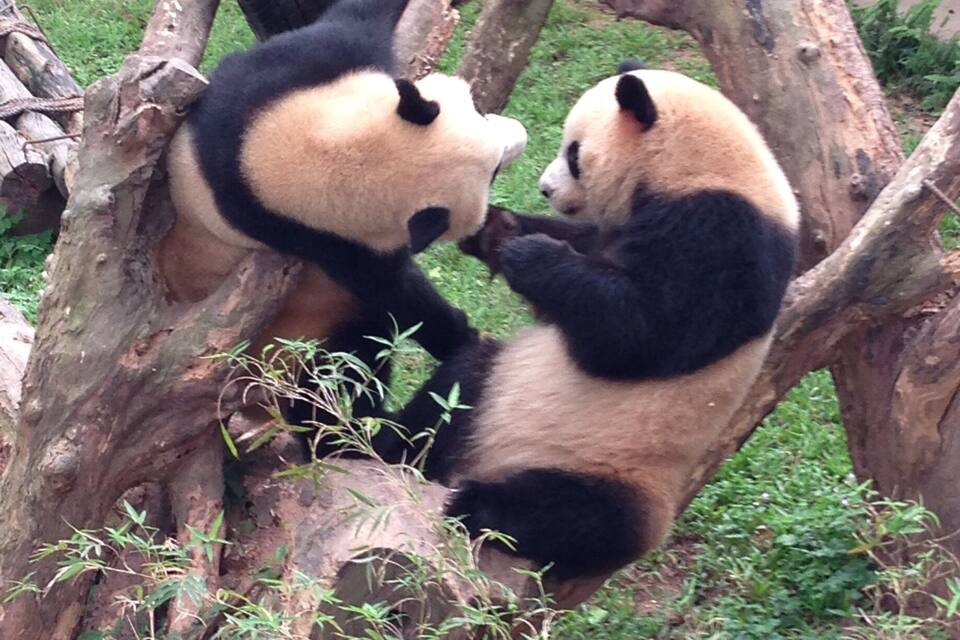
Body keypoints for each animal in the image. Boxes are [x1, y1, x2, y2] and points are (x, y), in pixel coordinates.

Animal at [158, 0, 527, 378]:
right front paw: (461, 334)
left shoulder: (284, 78)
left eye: (478, 110)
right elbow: (394, 290)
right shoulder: (315, 237)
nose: (521, 135)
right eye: (493, 172)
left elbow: (354, 18)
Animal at [365, 63, 800, 583]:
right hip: (492, 387)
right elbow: (581, 267)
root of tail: (482, 463)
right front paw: (497, 229)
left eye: (574, 153)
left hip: (615, 473)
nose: (545, 188)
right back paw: (382, 443)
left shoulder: (725, 238)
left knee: (574, 514)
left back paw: (478, 506)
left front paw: (530, 254)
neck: (712, 168)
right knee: (456, 388)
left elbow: (638, 333)